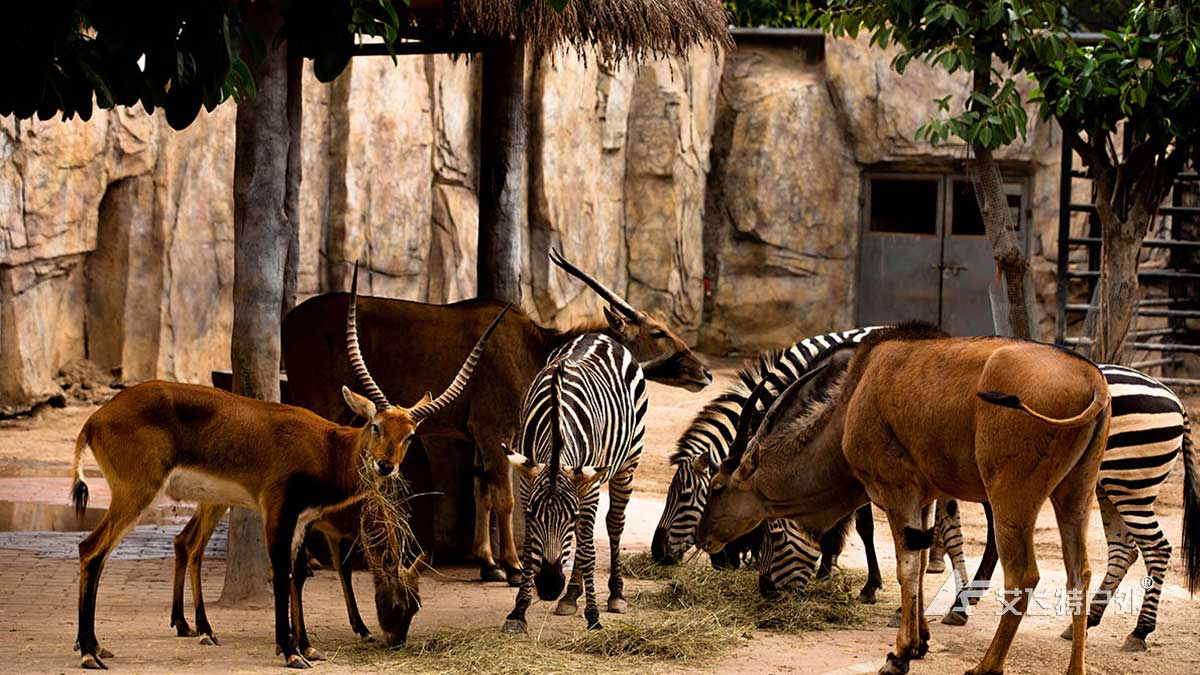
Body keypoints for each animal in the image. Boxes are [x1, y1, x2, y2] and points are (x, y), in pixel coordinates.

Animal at [69, 264, 511, 667]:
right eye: (375, 424)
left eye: (409, 435)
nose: (385, 466)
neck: (328, 447)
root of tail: (97, 418)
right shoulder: (279, 514)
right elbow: (284, 573)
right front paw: (290, 651)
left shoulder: (303, 521)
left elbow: (298, 573)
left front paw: (306, 646)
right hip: (137, 494)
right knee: (93, 549)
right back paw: (93, 651)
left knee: (146, 549)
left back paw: (130, 641)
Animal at [280, 247, 710, 583]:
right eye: (657, 332)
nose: (704, 372)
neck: (534, 346)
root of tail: (288, 321)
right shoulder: (494, 433)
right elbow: (503, 498)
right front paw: (513, 567)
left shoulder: (484, 440)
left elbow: (481, 492)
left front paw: (487, 563)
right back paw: (313, 559)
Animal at [496, 331, 648, 629]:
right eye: (531, 515)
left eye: (571, 515)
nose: (550, 587)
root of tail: (599, 335)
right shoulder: (526, 483)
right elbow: (530, 548)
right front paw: (518, 611)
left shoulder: (587, 486)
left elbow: (588, 548)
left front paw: (593, 615)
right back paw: (570, 595)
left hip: (627, 463)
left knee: (613, 523)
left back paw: (615, 594)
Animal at [700, 321, 1108, 672]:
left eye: (717, 487)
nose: (704, 539)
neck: (856, 396)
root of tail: (1094, 381)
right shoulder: (924, 498)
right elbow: (925, 559)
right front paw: (920, 641)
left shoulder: (896, 491)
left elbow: (907, 567)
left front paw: (899, 654)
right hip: (1074, 496)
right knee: (1079, 574)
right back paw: (1075, 669)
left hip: (1011, 498)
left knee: (1023, 575)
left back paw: (986, 666)